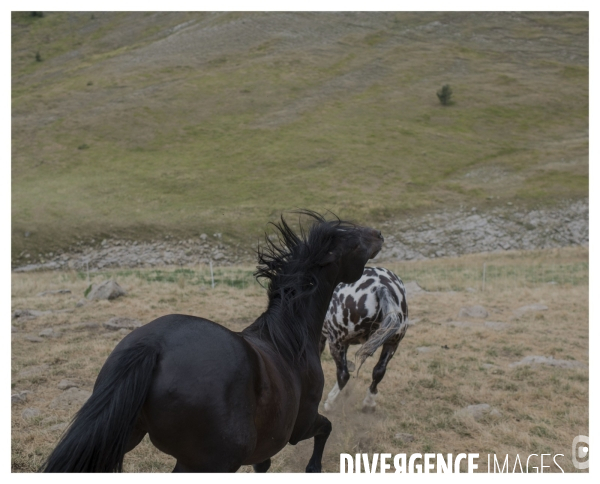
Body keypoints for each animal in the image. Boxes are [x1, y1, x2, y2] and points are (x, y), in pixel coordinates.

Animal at [43, 213, 384, 472]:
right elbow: (326, 428)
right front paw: (313, 468)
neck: (290, 339)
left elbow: (264, 465)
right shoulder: (301, 426)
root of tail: (153, 347)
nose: (378, 233)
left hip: (124, 436)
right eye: (350, 240)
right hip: (209, 462)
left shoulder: (265, 447)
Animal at [318, 268, 408, 412]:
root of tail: (381, 287)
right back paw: (368, 403)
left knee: (343, 375)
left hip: (336, 343)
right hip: (392, 343)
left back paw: (329, 402)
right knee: (378, 372)